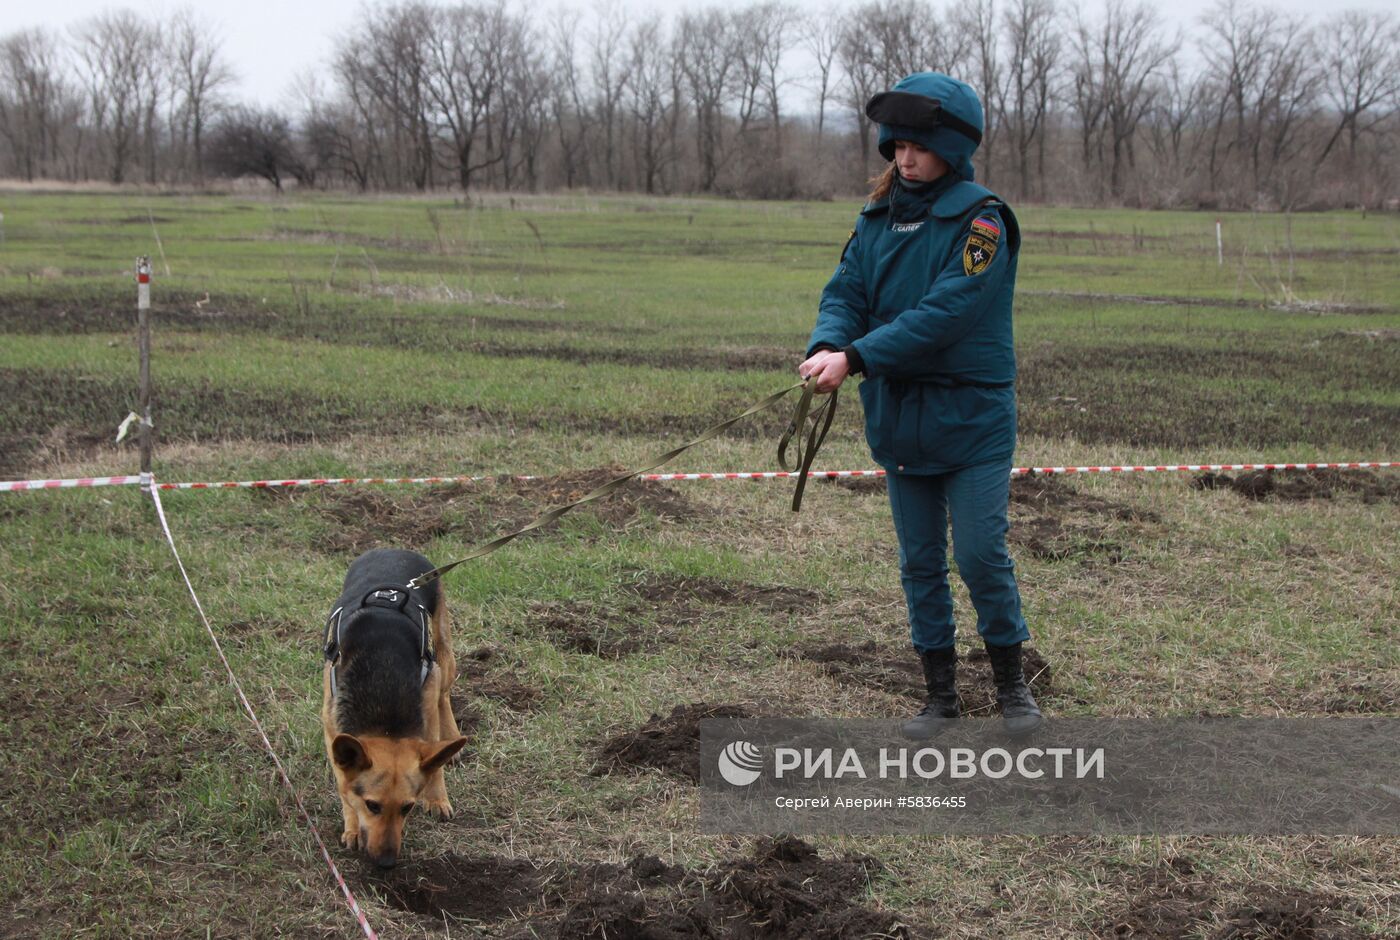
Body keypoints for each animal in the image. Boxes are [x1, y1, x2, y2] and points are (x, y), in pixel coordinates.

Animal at [320, 551, 467, 868]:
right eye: (371, 805)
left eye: (407, 808)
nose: (387, 863)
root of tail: (393, 549)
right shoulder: (331, 725)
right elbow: (343, 783)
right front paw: (352, 827)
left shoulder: (427, 701)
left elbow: (434, 763)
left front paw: (437, 799)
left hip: (442, 658)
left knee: (444, 694)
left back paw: (453, 740)